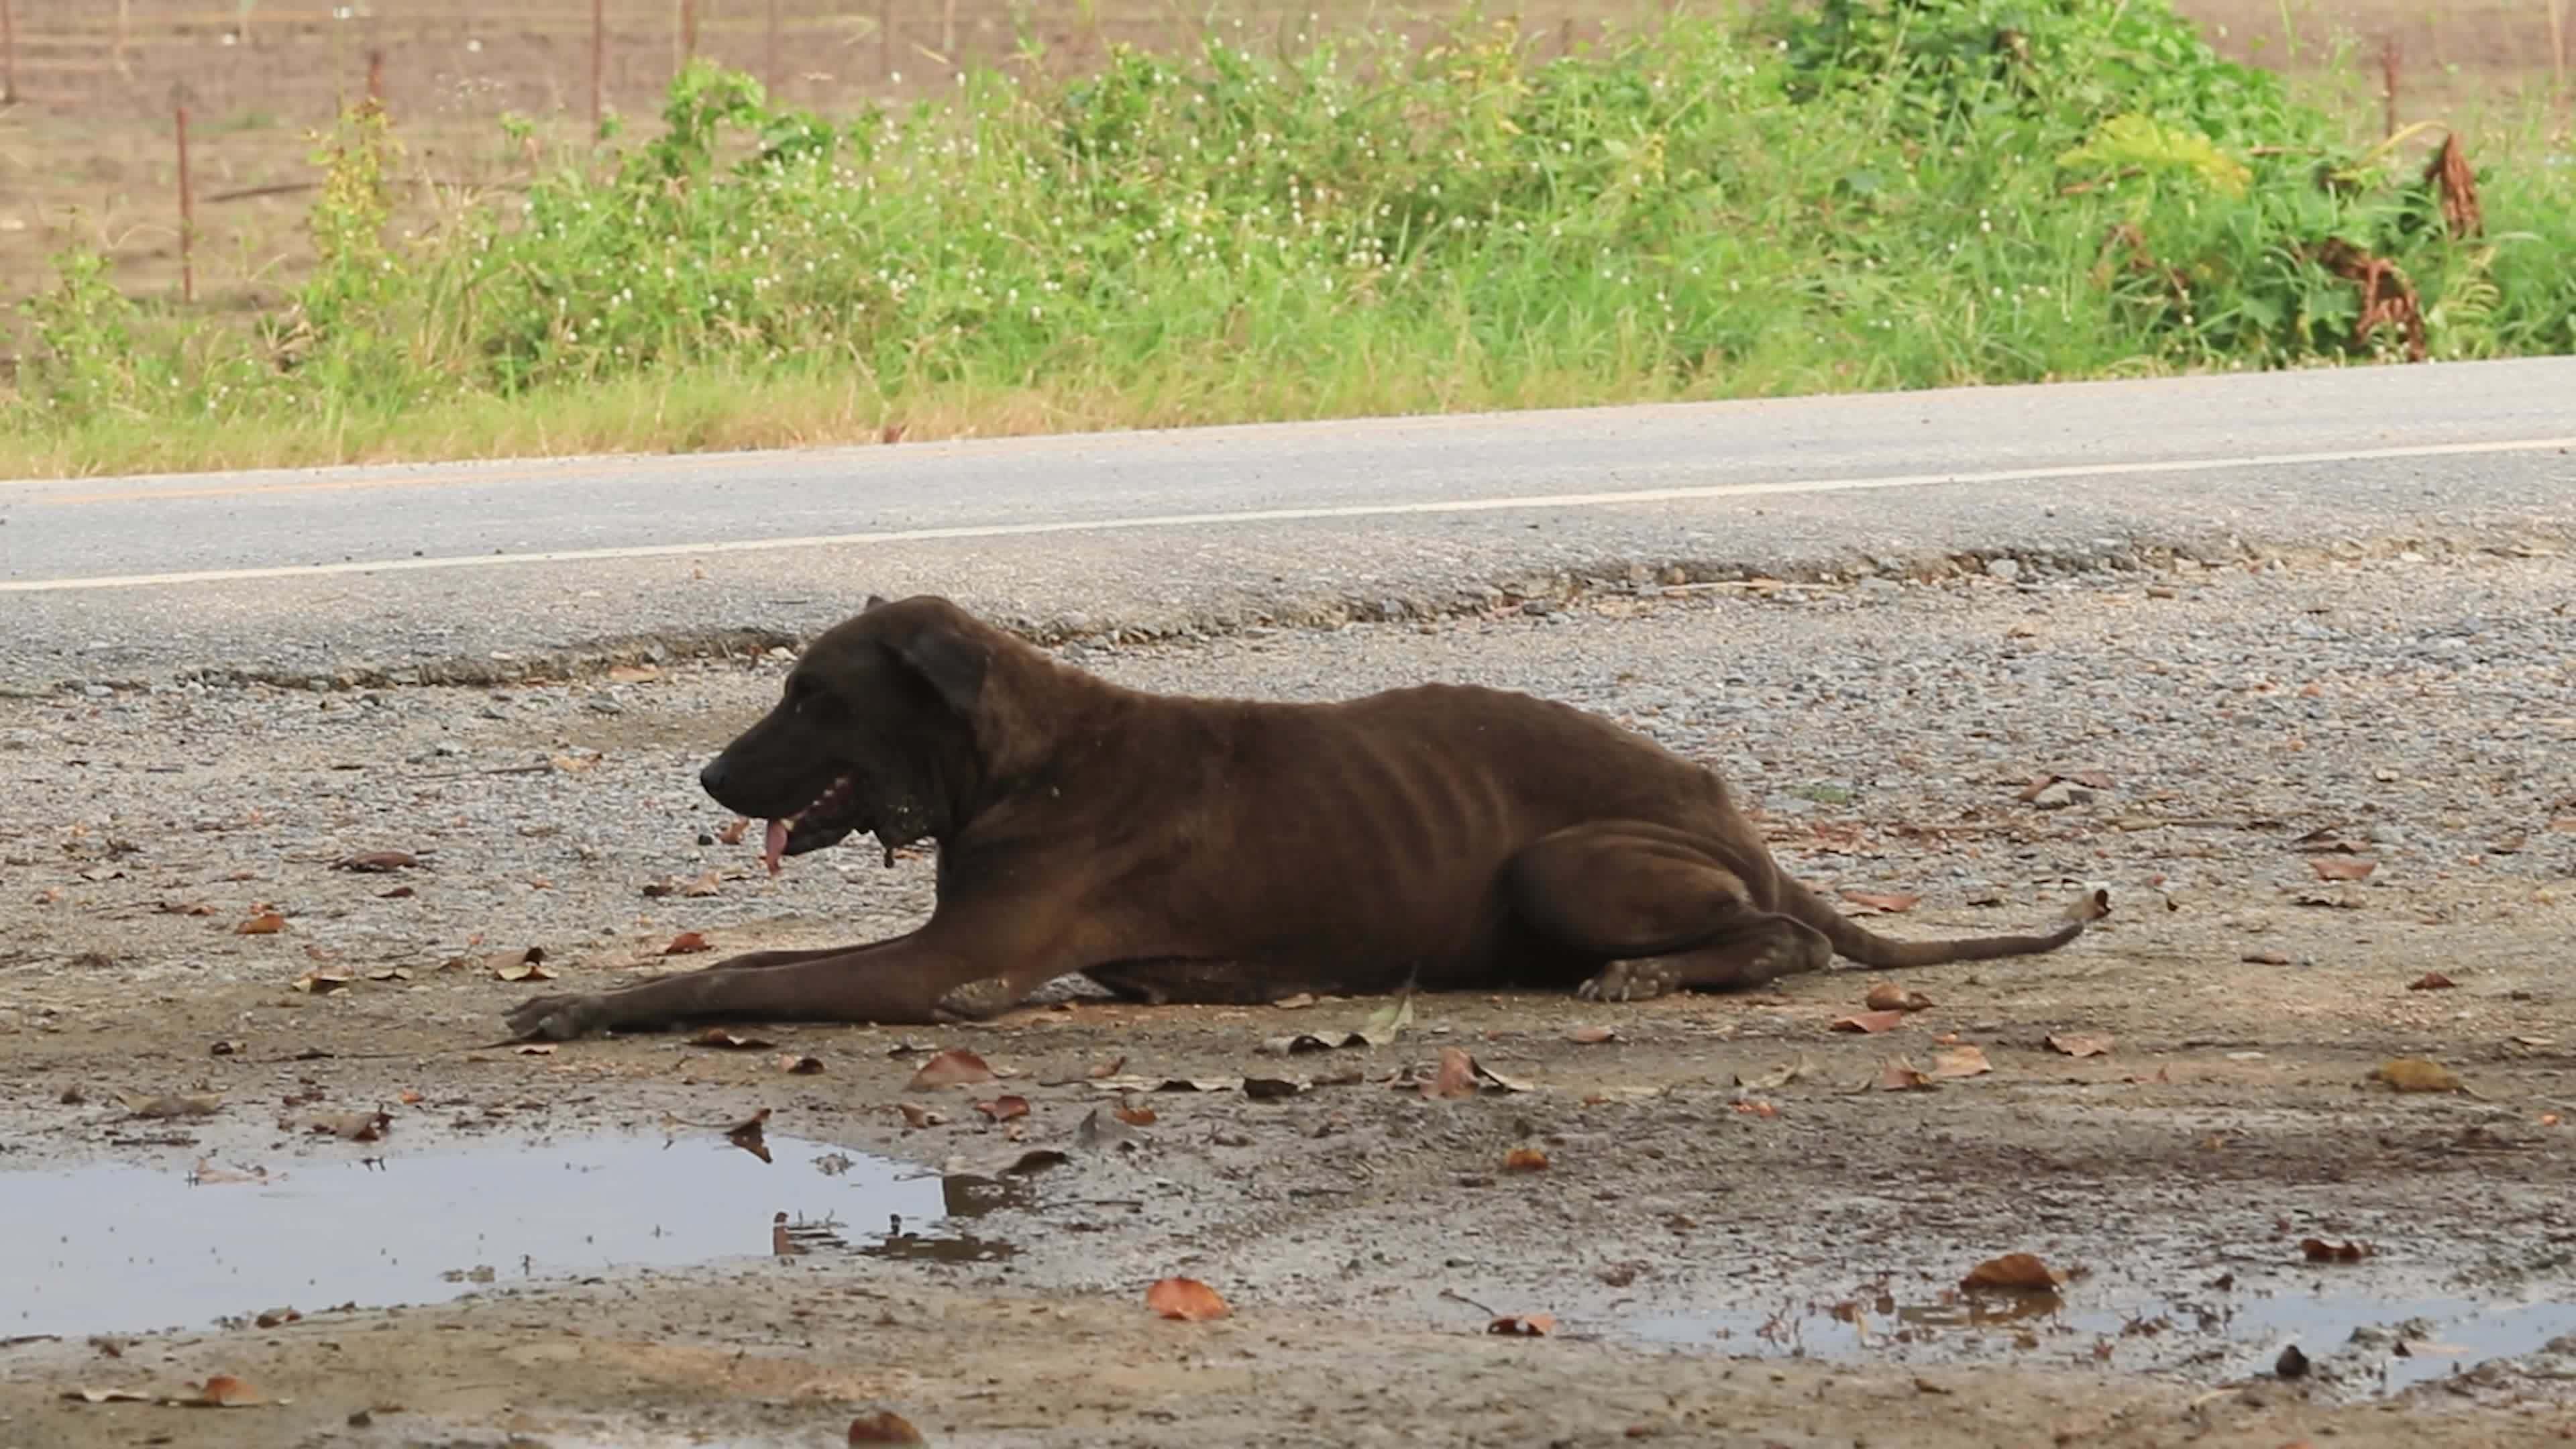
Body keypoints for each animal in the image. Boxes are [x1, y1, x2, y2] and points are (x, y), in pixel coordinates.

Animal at [492, 590, 2102, 1036]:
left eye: (813, 694)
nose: (709, 782)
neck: (1026, 755)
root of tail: (1734, 809)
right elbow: (752, 962)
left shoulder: (952, 964)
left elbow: (737, 975)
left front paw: (582, 1005)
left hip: (1568, 862)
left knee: (1787, 941)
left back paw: (1660, 974)